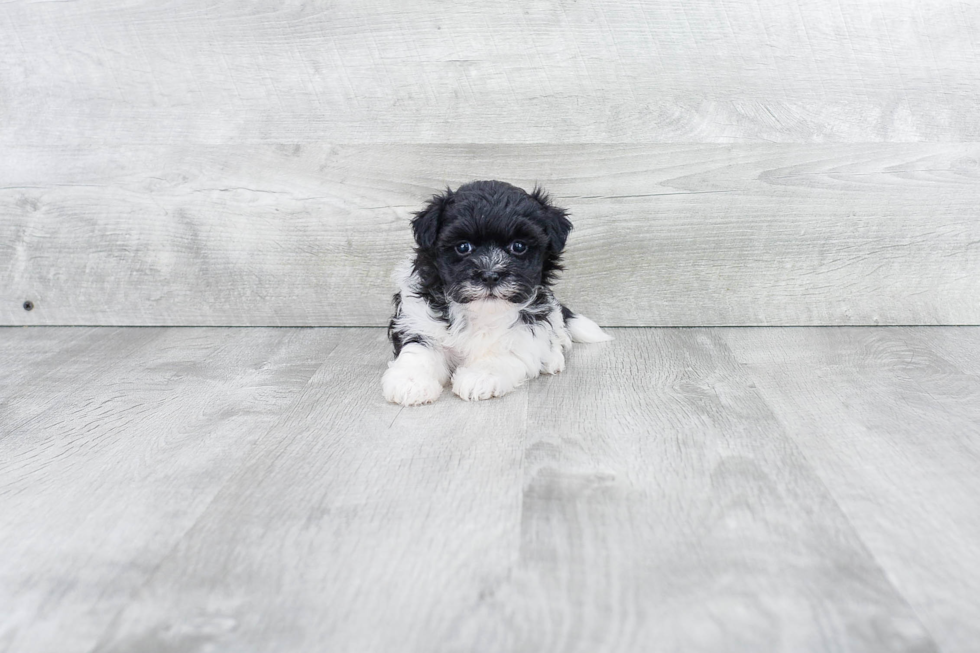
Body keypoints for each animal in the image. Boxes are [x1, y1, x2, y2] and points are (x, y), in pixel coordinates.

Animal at [384, 178, 608, 402]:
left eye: (518, 246)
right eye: (463, 247)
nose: (490, 275)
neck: (482, 311)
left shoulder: (524, 329)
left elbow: (505, 351)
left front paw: (480, 376)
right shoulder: (419, 318)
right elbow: (419, 349)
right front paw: (411, 381)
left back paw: (552, 358)